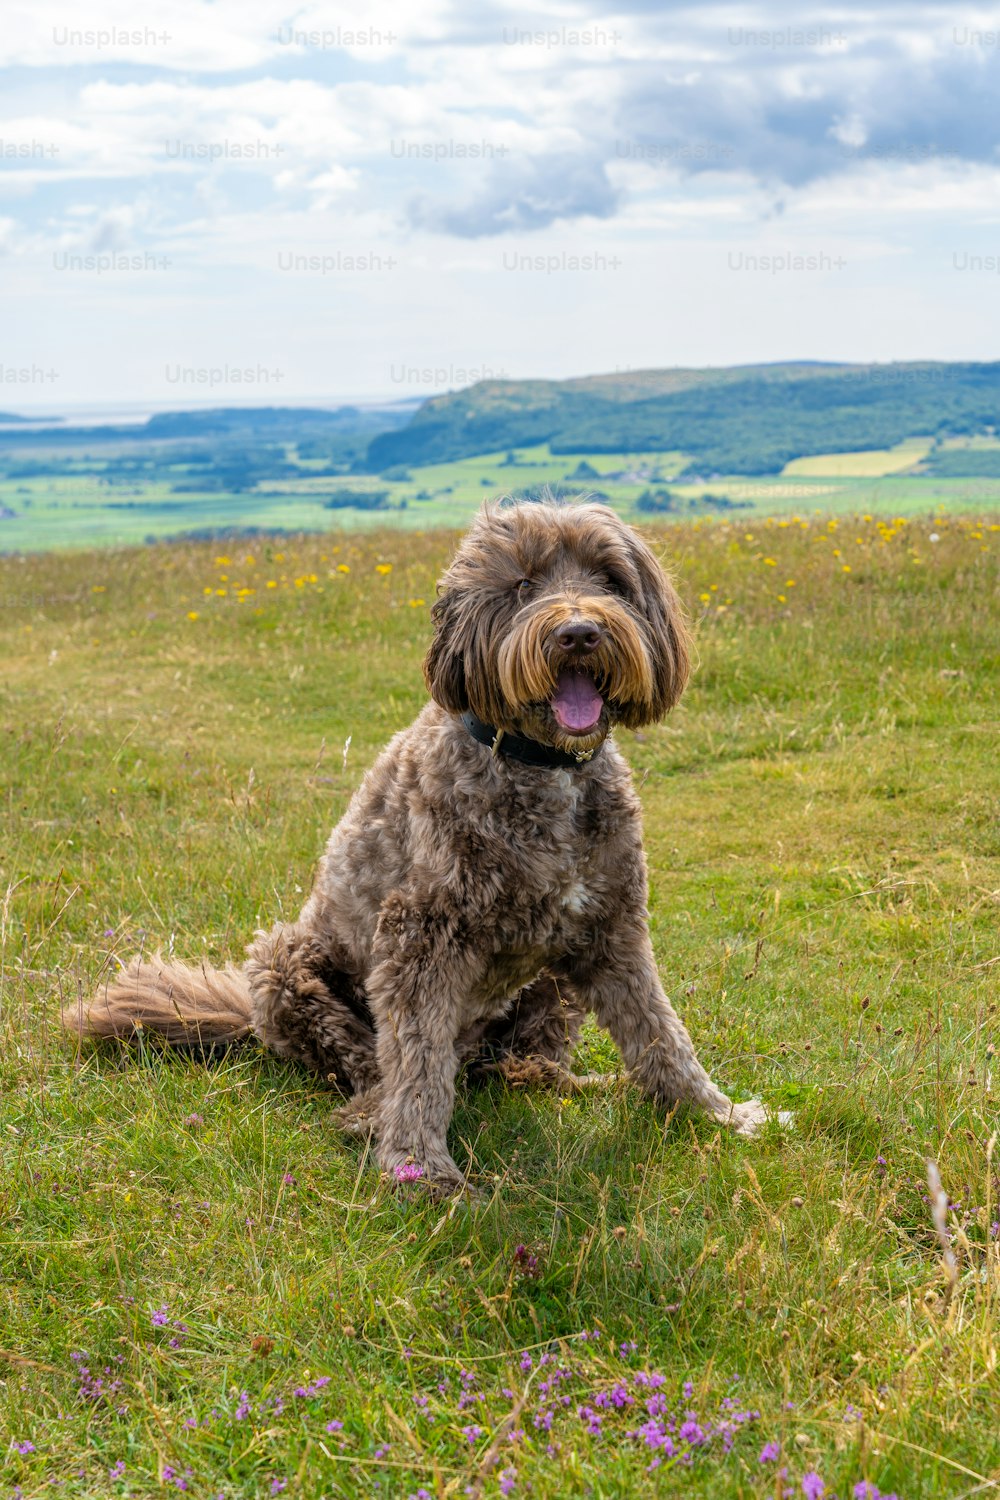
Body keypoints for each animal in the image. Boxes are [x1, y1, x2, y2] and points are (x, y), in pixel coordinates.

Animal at [66, 504, 773, 1194]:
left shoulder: (612, 926)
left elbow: (658, 1030)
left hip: (549, 976)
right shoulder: (420, 938)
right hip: (286, 964)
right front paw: (418, 1164)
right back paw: (370, 1113)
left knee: (514, 1060)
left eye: (609, 580)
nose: (578, 633)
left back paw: (566, 1082)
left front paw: (715, 1112)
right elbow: (416, 1056)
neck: (542, 766)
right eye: (523, 585)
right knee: (371, 1062)